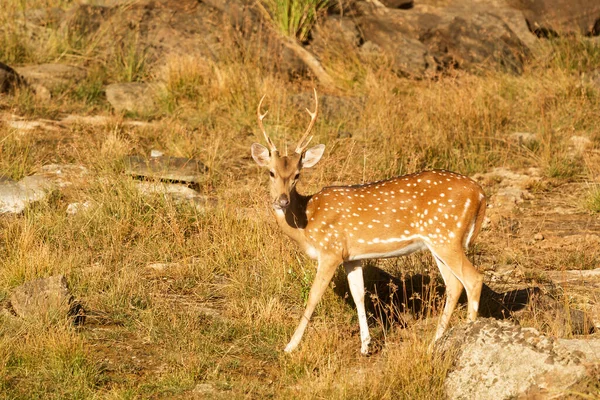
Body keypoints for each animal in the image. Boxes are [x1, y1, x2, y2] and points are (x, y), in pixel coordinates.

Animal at [250, 90, 488, 354]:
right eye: (271, 172)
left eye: (297, 175)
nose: (281, 201)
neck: (307, 220)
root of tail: (480, 193)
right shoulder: (352, 256)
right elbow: (358, 294)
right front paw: (365, 345)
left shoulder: (330, 250)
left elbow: (313, 296)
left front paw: (290, 346)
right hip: (440, 241)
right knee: (454, 285)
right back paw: (433, 344)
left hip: (447, 236)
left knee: (473, 279)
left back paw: (467, 337)